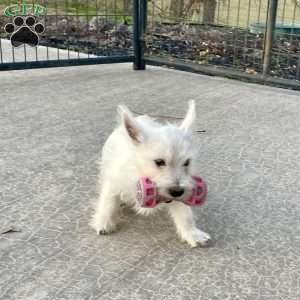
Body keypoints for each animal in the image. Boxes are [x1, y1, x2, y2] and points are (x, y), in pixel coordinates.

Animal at [91, 101, 211, 246]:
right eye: (159, 161)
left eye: (187, 162)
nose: (177, 192)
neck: (140, 170)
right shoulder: (114, 182)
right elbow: (107, 202)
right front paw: (103, 223)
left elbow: (185, 214)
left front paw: (192, 233)